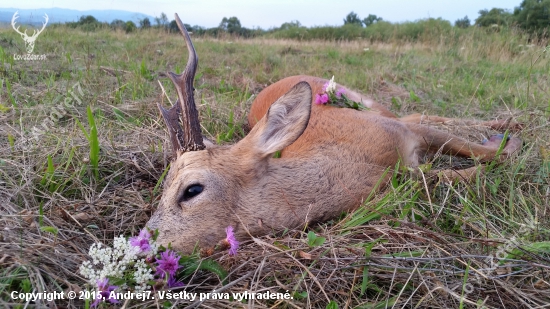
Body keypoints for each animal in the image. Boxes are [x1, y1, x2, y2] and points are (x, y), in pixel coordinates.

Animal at [146, 14, 520, 253]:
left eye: (191, 190)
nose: (145, 245)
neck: (354, 163)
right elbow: (448, 176)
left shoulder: (400, 132)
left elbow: (489, 155)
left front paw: (506, 143)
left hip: (371, 103)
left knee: (421, 113)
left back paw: (508, 125)